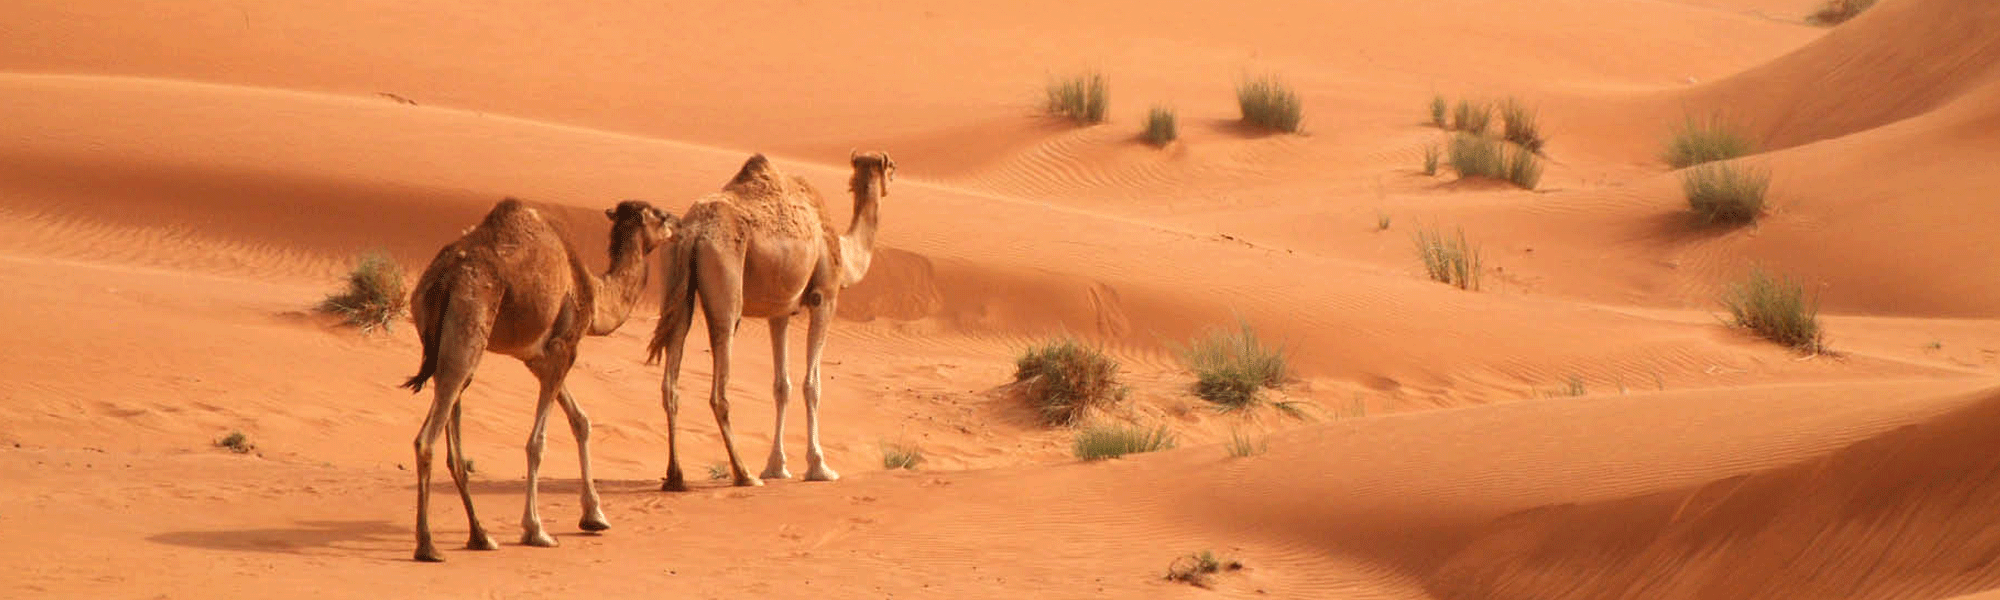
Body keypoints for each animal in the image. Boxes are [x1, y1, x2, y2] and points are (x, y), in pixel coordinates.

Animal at [402, 197, 676, 564]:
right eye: (660, 215)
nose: (678, 224)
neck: (593, 291)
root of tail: (443, 279)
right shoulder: (564, 348)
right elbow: (537, 442)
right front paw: (537, 530)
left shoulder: (537, 357)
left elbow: (581, 421)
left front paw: (594, 516)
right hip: (468, 330)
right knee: (427, 438)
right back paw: (428, 545)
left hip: (445, 341)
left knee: (453, 433)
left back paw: (481, 536)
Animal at [644, 149, 896, 488]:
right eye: (891, 166)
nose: (893, 176)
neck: (843, 252)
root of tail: (693, 232)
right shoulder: (824, 297)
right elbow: (812, 385)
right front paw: (819, 468)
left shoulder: (779, 313)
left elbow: (781, 386)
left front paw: (777, 467)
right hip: (727, 286)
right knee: (720, 383)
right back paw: (744, 474)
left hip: (674, 284)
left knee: (671, 379)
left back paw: (676, 477)